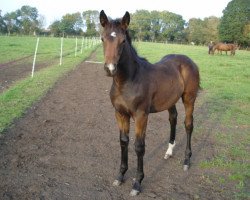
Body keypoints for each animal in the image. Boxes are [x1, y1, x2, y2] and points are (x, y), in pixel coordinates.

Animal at [98, 10, 200, 195]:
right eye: (102, 38)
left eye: (123, 41)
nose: (110, 69)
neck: (128, 80)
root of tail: (188, 61)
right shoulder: (120, 113)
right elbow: (123, 141)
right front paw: (120, 176)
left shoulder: (141, 115)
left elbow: (139, 146)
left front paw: (137, 183)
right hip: (170, 100)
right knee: (173, 118)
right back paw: (169, 152)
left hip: (189, 98)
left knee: (188, 124)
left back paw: (186, 161)